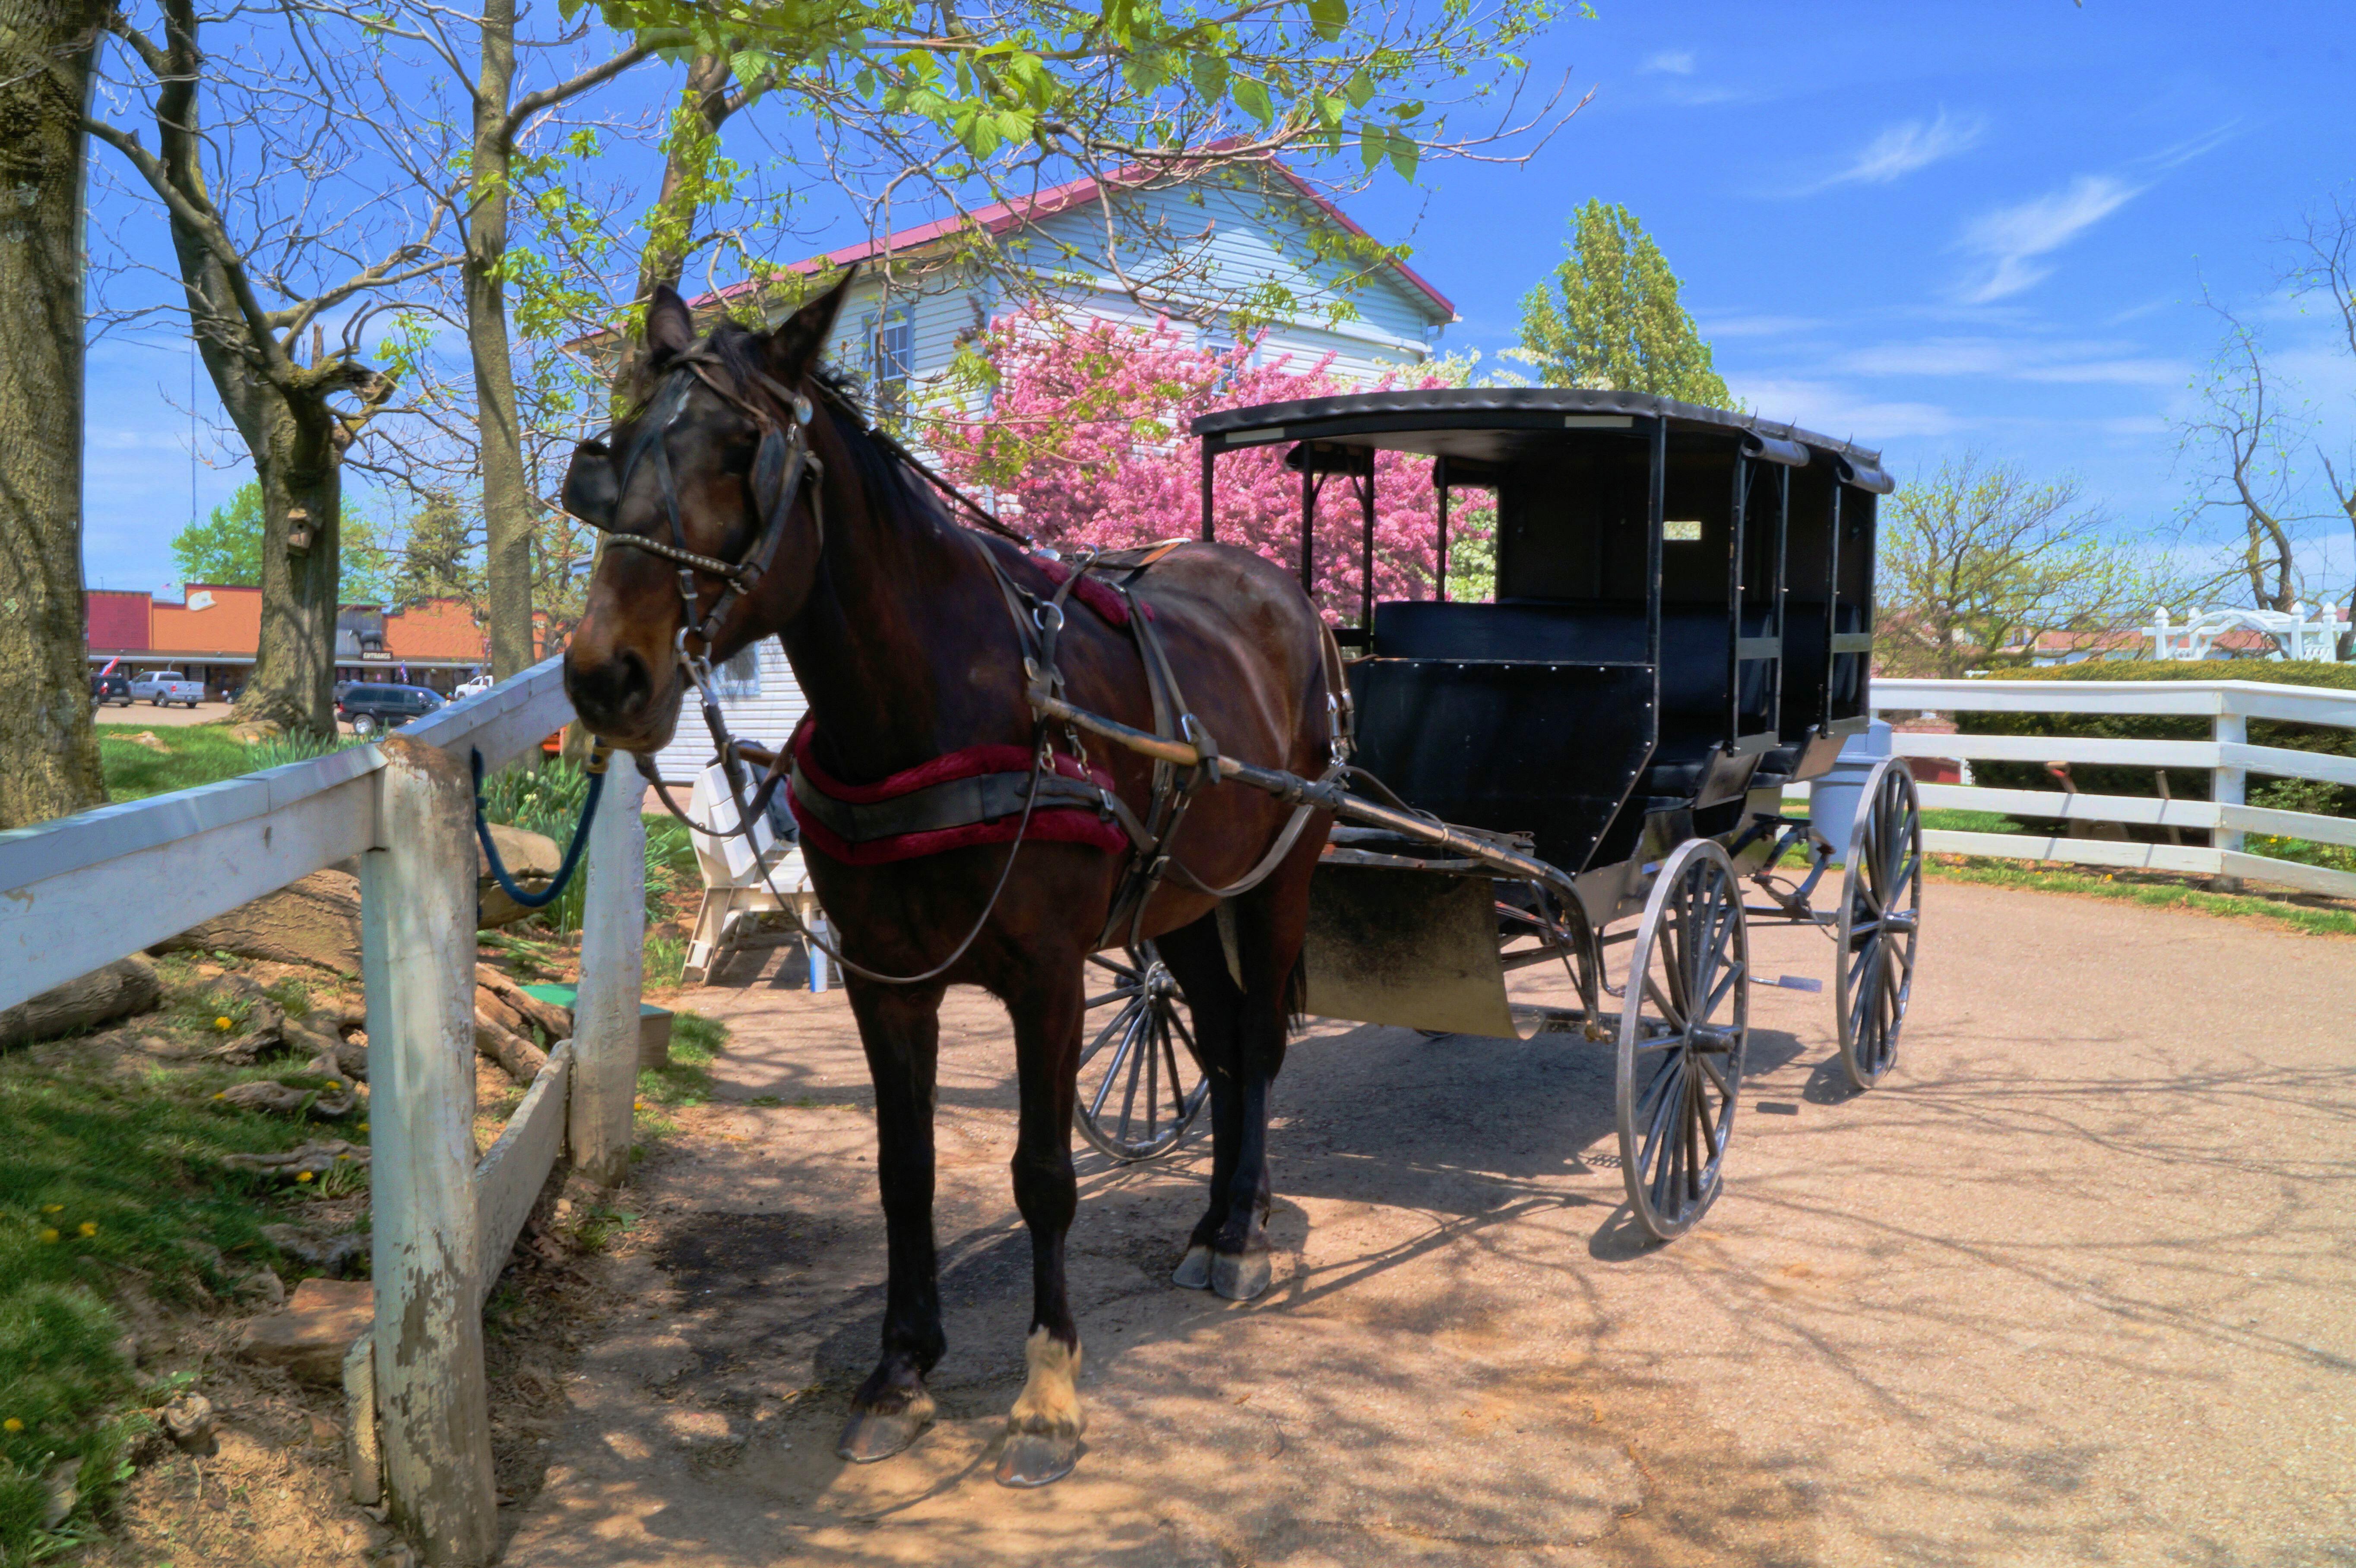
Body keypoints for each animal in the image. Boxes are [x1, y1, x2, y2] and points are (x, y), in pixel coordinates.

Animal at [560, 273, 1340, 1487]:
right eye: (619, 446)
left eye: (743, 450)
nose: (605, 676)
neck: (945, 697)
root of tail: (1274, 588)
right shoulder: (886, 981)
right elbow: (905, 1169)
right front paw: (900, 1368)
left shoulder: (1050, 980)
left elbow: (1043, 1174)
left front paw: (1049, 1392)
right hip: (1182, 897)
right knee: (1215, 1036)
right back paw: (1213, 1222)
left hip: (1276, 879)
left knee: (1255, 1043)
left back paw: (1245, 1234)